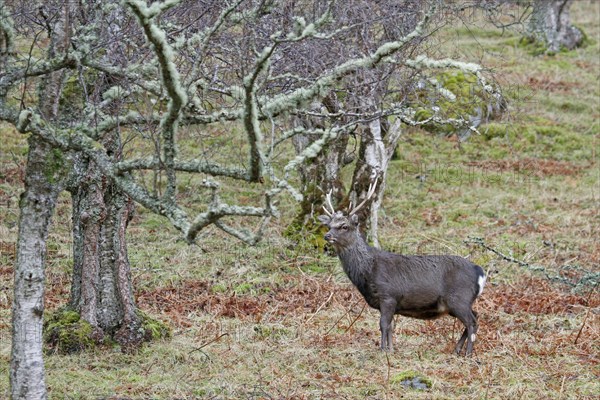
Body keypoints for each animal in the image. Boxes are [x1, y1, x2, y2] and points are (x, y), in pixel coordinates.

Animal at [318, 180, 482, 354]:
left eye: (344, 226)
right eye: (329, 225)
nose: (327, 236)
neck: (368, 272)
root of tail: (479, 271)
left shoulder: (388, 295)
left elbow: (383, 325)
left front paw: (382, 350)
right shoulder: (390, 302)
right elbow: (390, 327)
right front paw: (391, 349)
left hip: (459, 298)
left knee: (471, 321)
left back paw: (468, 353)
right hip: (457, 303)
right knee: (475, 316)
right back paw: (457, 349)